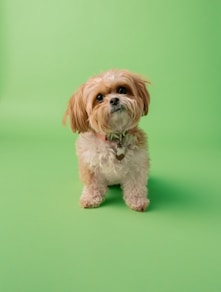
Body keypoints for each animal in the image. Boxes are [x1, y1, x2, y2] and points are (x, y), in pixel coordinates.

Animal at [63, 70, 151, 212]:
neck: (114, 137)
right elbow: (92, 185)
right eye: (99, 97)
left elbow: (135, 186)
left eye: (122, 90)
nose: (114, 99)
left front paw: (137, 201)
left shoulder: (136, 165)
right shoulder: (90, 166)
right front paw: (91, 198)